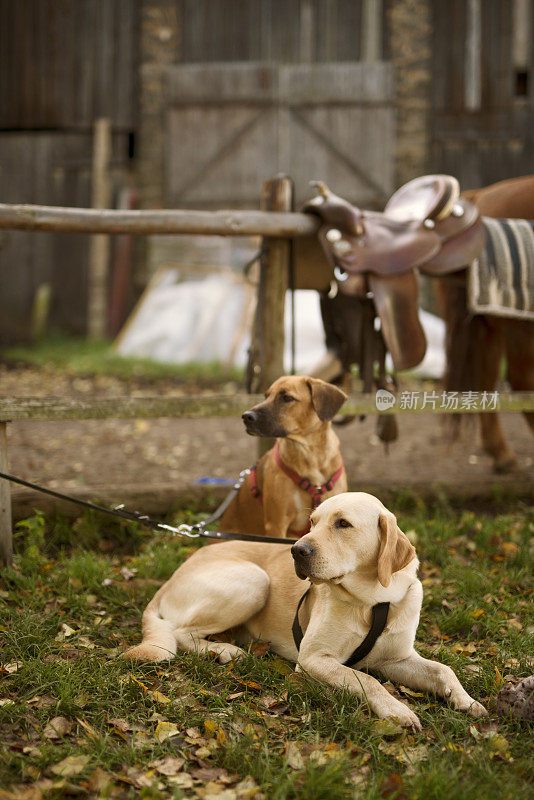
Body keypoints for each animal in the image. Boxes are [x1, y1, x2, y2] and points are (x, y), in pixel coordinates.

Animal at [123, 490, 488, 728]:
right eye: (312, 522)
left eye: (343, 524)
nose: (297, 550)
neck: (373, 602)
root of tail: (171, 577)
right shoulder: (313, 659)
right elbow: (366, 680)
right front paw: (397, 711)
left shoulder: (396, 659)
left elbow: (443, 669)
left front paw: (467, 700)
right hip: (254, 579)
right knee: (180, 633)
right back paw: (226, 650)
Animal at [436, 177, 534, 468]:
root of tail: (481, 196)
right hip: (516, 322)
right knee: (520, 378)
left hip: (489, 325)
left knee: (486, 377)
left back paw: (500, 453)